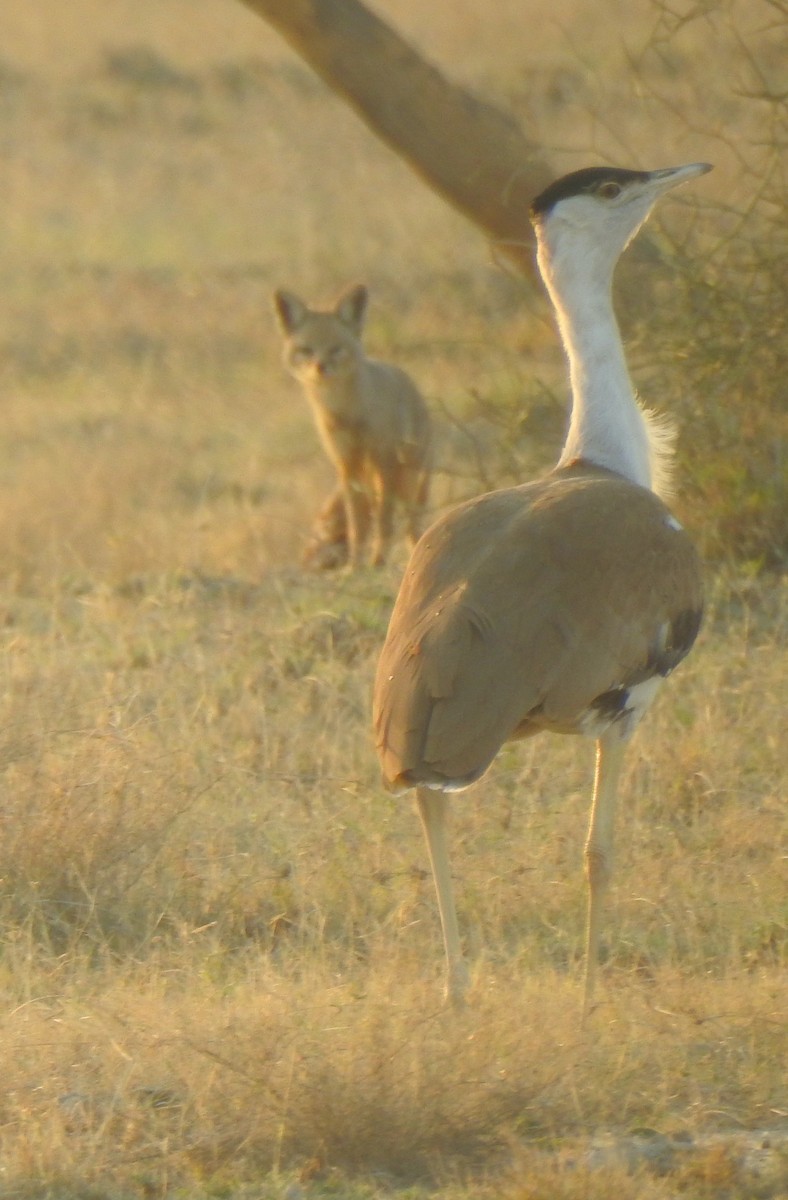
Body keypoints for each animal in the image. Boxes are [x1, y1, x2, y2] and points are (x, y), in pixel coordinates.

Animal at [271, 283, 429, 568]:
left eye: (336, 348)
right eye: (307, 350)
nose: (320, 367)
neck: (347, 413)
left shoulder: (383, 459)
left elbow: (384, 521)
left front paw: (377, 563)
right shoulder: (346, 465)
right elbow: (358, 526)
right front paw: (356, 567)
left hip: (408, 480)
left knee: (411, 524)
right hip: (370, 478)